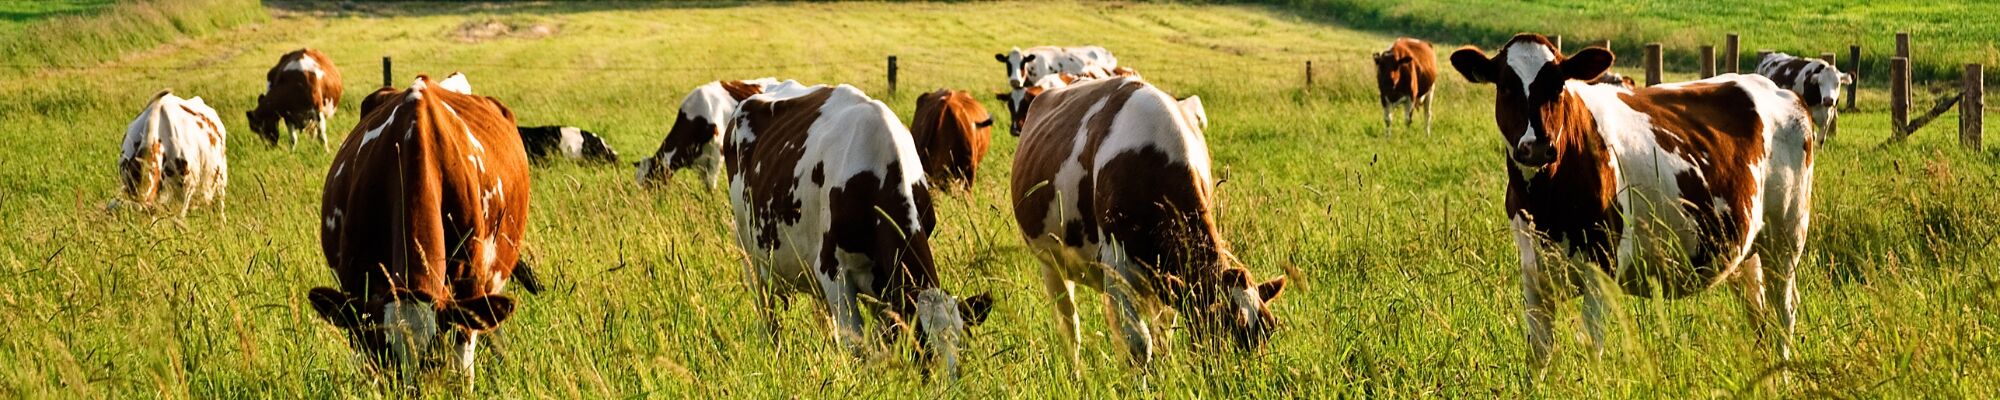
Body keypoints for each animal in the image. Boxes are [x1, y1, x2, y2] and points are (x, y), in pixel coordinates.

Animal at [725, 81, 993, 379]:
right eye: (922, 344)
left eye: (961, 343)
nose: (946, 385)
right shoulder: (833, 270)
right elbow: (855, 346)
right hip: (747, 248)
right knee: (767, 314)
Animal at [1009, 75, 1280, 373]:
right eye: (1218, 325)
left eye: (1270, 329)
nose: (1245, 378)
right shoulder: (1116, 268)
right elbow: (1138, 345)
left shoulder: (1169, 280)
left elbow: (1163, 335)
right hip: (1051, 263)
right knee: (1070, 328)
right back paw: (1076, 373)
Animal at [1447, 34, 1815, 370]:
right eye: (1506, 87)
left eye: (1558, 86)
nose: (1537, 147)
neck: (1546, 202)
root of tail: (1776, 89)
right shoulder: (1533, 270)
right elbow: (1538, 353)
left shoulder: (1603, 264)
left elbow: (1591, 347)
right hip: (1745, 249)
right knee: (1757, 315)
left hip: (1786, 238)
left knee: (1784, 314)